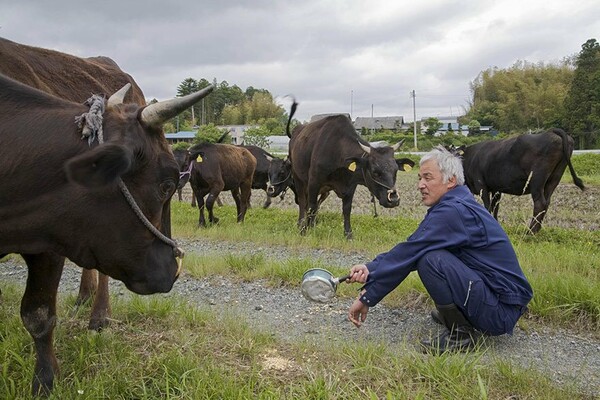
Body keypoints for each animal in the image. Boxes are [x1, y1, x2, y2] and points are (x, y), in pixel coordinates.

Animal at [0, 73, 216, 396]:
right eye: (166, 185)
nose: (173, 269)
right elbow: (38, 315)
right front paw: (45, 381)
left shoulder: (47, 247)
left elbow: (38, 315)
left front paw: (45, 382)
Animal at [286, 101, 412, 238]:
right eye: (375, 172)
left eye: (395, 171)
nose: (393, 200)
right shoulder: (314, 181)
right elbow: (311, 207)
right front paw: (304, 231)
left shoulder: (350, 186)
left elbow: (346, 210)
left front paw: (348, 234)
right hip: (298, 178)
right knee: (303, 202)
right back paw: (301, 224)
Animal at [452, 128, 584, 234]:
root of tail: (551, 132)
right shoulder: (496, 189)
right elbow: (495, 207)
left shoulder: (481, 185)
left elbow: (487, 206)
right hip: (554, 178)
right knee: (546, 203)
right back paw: (536, 230)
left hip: (537, 180)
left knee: (540, 203)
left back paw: (530, 232)